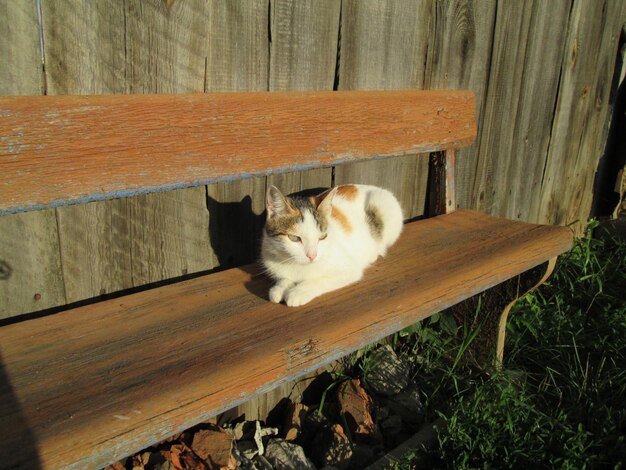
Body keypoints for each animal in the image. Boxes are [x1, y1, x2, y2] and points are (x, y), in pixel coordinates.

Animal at [258, 184, 400, 308]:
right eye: (294, 238)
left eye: (322, 237)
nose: (312, 256)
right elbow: (284, 277)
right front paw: (280, 287)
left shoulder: (349, 269)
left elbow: (319, 280)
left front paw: (297, 292)